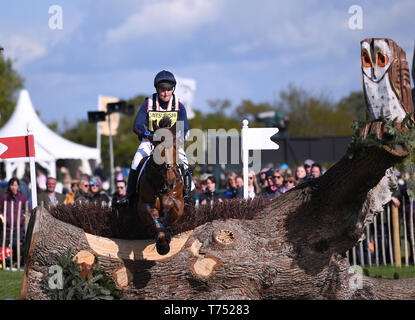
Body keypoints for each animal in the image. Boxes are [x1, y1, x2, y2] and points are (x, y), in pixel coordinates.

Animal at [136, 116, 184, 254]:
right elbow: (156, 221)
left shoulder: (179, 203)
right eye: (157, 145)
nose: (171, 179)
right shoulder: (144, 205)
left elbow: (171, 212)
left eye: (175, 145)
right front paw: (163, 245)